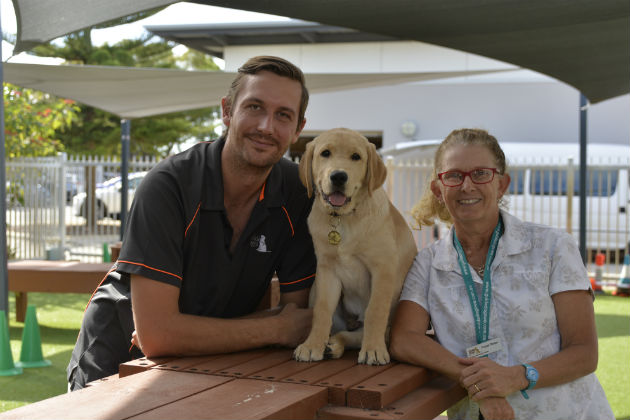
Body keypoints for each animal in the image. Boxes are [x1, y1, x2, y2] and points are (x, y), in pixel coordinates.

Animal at [298, 128, 420, 364]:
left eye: (356, 157)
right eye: (325, 153)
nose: (338, 176)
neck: (343, 219)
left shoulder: (383, 268)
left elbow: (375, 310)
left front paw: (373, 350)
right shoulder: (327, 270)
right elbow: (322, 310)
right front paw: (312, 345)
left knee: (363, 332)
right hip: (315, 289)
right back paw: (332, 345)